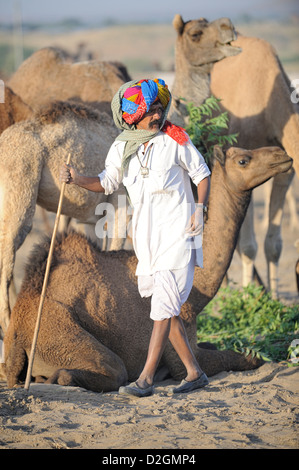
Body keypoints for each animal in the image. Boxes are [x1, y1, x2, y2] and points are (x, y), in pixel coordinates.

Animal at [0, 102, 130, 338]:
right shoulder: (119, 200)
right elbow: (116, 245)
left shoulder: (90, 220)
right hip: (20, 188)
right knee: (7, 252)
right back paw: (7, 326)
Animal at [2, 145, 292, 392]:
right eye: (243, 160)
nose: (282, 155)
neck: (197, 289)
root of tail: (16, 335)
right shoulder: (182, 345)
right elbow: (245, 358)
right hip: (58, 335)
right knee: (102, 371)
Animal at [171, 17, 299, 302]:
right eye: (195, 33)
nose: (227, 26)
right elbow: (249, 244)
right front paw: (249, 297)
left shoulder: (286, 169)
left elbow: (274, 243)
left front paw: (274, 297)